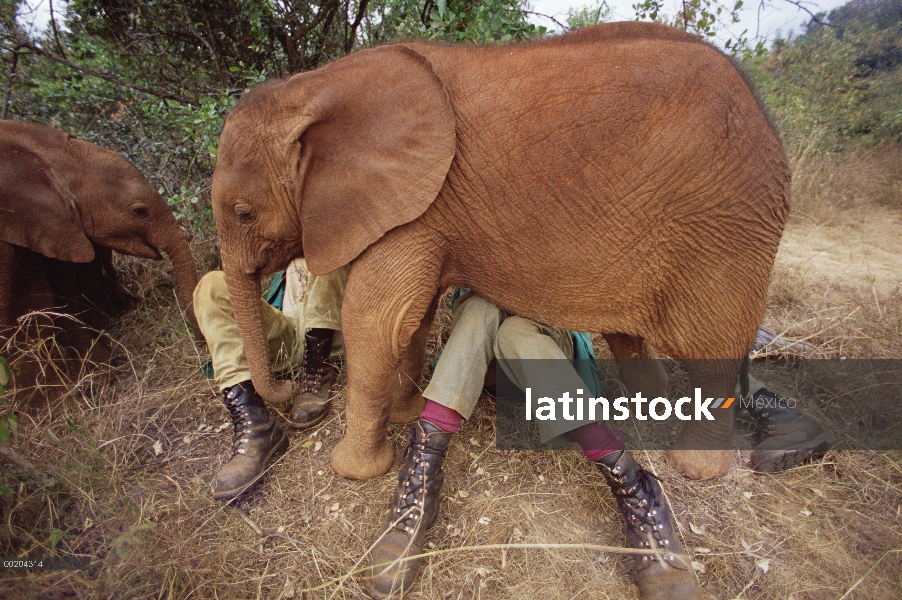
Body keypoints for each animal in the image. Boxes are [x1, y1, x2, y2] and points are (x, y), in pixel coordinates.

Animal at [212, 22, 792, 482]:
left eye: (243, 213)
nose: (293, 401)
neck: (313, 88)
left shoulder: (418, 204)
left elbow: (375, 318)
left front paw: (355, 470)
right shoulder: (423, 209)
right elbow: (413, 317)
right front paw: (403, 416)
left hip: (724, 226)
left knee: (714, 349)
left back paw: (696, 467)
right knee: (629, 336)